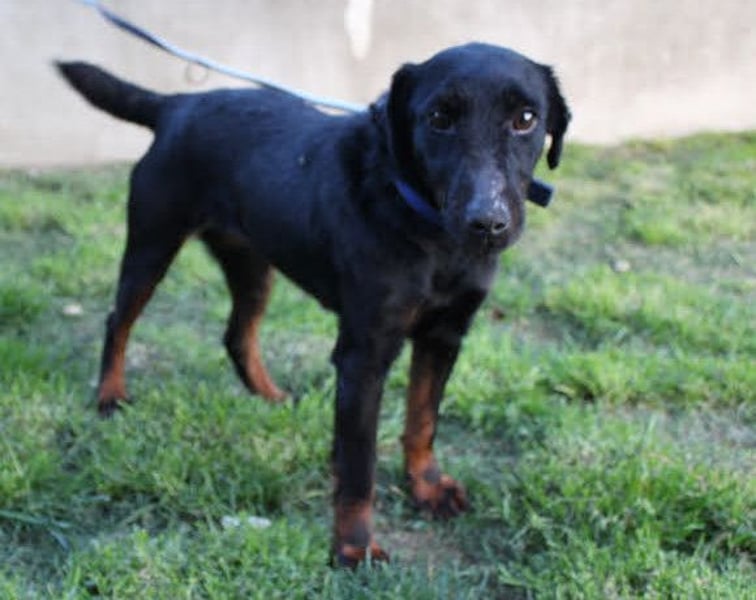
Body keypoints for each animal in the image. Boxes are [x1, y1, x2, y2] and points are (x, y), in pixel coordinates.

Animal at [57, 42, 569, 567]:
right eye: (439, 118)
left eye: (526, 119)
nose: (487, 223)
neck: (429, 232)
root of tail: (176, 104)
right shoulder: (364, 356)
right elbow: (360, 466)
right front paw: (355, 546)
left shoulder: (444, 335)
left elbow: (423, 420)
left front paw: (427, 489)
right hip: (152, 243)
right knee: (118, 321)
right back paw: (110, 396)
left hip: (251, 262)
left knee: (237, 335)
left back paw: (270, 396)